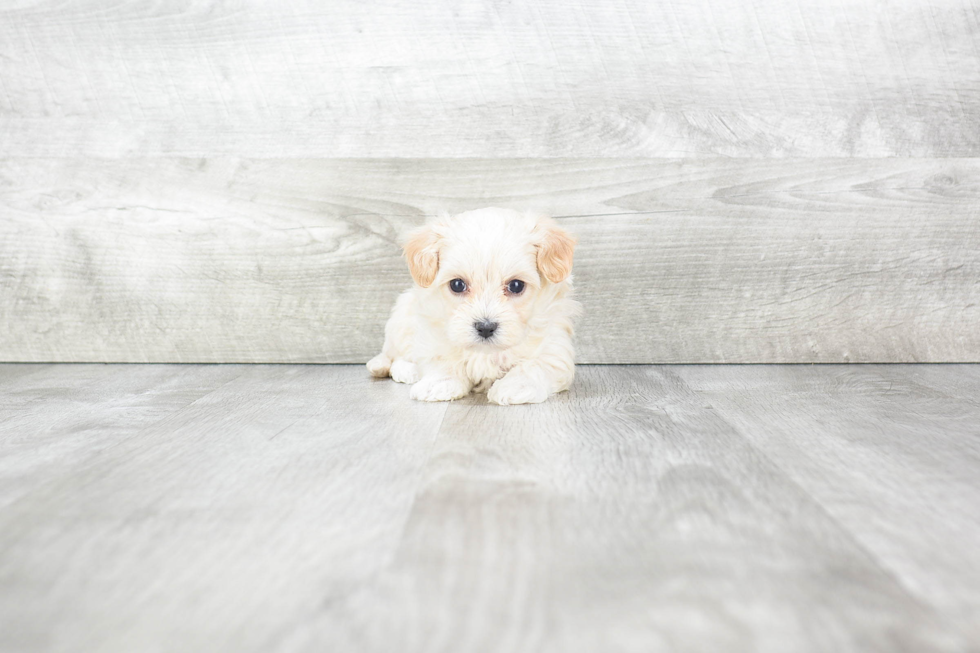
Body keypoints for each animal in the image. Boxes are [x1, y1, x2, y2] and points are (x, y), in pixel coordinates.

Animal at [368, 208, 580, 402]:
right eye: (457, 284)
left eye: (516, 285)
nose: (485, 327)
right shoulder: (432, 335)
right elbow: (442, 359)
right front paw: (438, 383)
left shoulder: (554, 347)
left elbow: (536, 365)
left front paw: (515, 386)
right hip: (401, 318)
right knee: (393, 355)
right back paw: (402, 369)